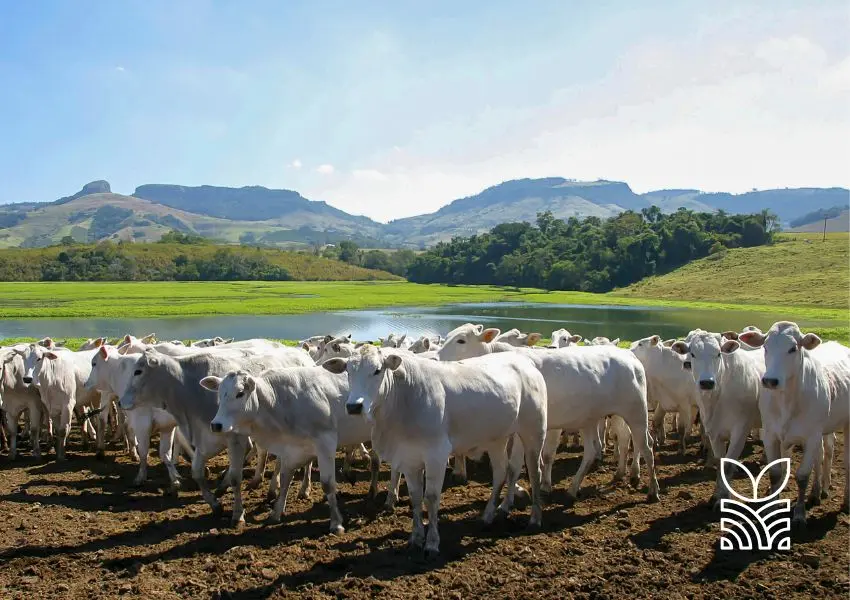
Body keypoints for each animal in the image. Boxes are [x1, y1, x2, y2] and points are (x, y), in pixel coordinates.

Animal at [672, 330, 764, 504]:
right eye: (692, 354)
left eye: (718, 353)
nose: (706, 382)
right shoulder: (713, 431)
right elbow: (720, 462)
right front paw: (717, 495)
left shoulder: (740, 430)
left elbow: (728, 465)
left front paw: (723, 497)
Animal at [736, 322, 848, 524]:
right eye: (765, 347)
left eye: (792, 348)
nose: (770, 380)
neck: (786, 401)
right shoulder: (771, 435)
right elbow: (775, 472)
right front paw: (771, 506)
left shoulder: (811, 436)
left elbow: (803, 476)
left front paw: (799, 514)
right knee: (820, 455)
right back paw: (816, 492)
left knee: (833, 454)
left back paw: (836, 494)